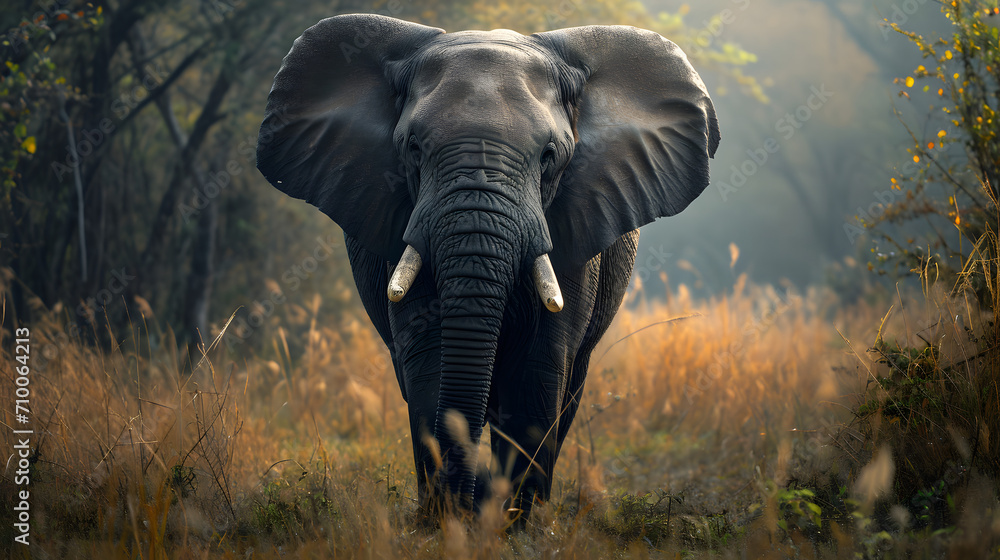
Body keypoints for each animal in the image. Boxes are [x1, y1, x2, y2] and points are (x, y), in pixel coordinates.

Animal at [256, 14, 719, 520]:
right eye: (413, 148)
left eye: (550, 156)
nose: (465, 502)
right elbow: (429, 363)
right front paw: (449, 519)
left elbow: (538, 370)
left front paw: (512, 522)